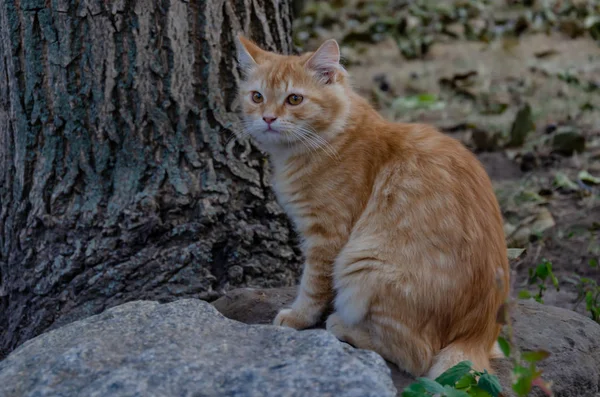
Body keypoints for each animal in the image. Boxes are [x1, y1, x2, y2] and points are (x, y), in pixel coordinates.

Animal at [237, 34, 508, 378]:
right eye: (257, 97)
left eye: (294, 99)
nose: (268, 118)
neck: (333, 137)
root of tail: (477, 334)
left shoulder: (328, 237)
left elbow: (312, 285)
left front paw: (298, 317)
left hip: (363, 263)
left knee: (417, 356)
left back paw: (343, 326)